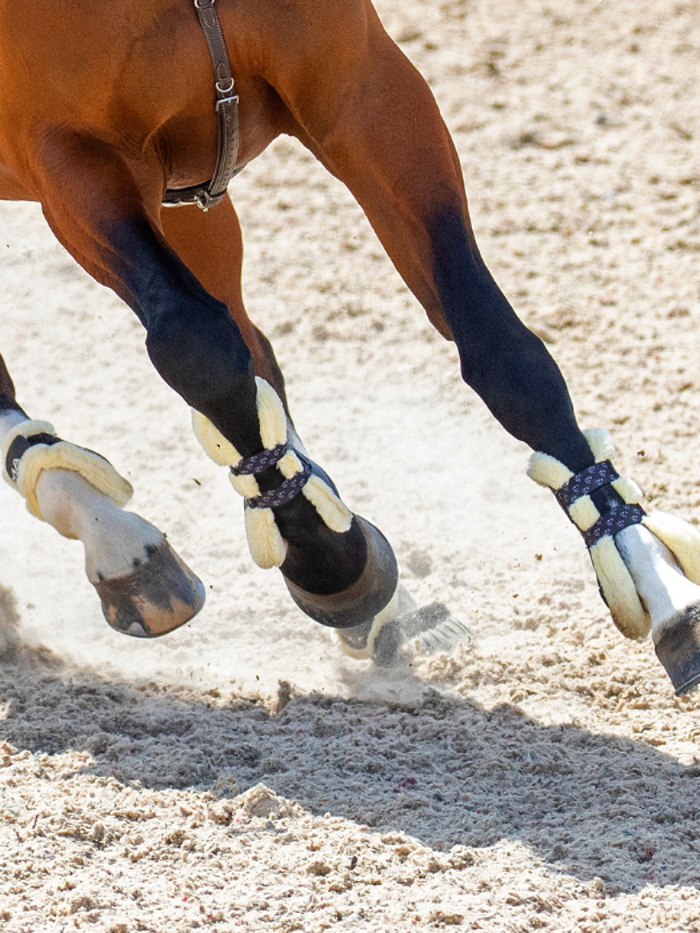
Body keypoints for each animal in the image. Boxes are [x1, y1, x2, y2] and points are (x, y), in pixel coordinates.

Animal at [1, 0, 700, 693]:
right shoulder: (69, 157)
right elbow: (194, 344)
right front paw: (328, 561)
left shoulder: (363, 95)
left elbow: (497, 345)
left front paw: (652, 573)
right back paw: (114, 538)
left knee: (251, 344)